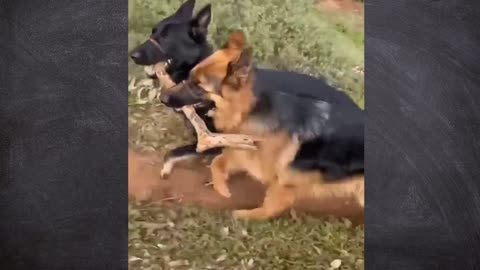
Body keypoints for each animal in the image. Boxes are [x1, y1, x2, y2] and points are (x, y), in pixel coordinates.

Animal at [159, 32, 366, 220]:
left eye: (197, 86)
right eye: (189, 77)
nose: (162, 97)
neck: (248, 110)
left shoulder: (274, 176)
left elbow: (270, 207)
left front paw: (233, 203)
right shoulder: (244, 152)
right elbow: (218, 162)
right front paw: (221, 186)